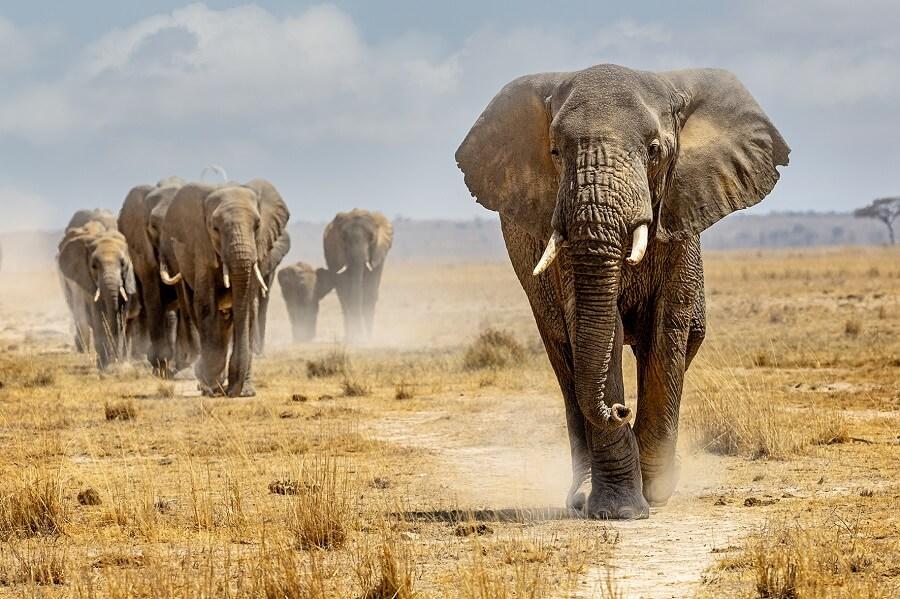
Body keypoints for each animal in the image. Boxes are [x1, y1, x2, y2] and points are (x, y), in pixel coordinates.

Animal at [57, 218, 138, 369]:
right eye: (94, 266)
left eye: (123, 264)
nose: (115, 360)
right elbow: (98, 316)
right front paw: (105, 365)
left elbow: (122, 315)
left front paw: (115, 363)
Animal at [159, 179, 290, 397]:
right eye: (215, 228)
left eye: (257, 226)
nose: (232, 390)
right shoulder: (201, 248)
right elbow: (206, 304)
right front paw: (211, 384)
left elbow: (249, 308)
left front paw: (244, 392)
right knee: (194, 309)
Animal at [323, 209, 392, 344]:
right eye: (344, 238)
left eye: (371, 237)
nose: (360, 337)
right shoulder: (336, 254)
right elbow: (345, 290)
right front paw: (356, 338)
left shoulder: (378, 254)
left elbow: (370, 291)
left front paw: (367, 339)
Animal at [456, 64, 789, 519]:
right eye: (555, 152)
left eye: (654, 150)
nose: (619, 410)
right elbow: (597, 327)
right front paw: (619, 511)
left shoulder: (680, 215)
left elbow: (669, 327)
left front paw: (656, 492)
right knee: (566, 361)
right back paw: (581, 494)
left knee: (688, 337)